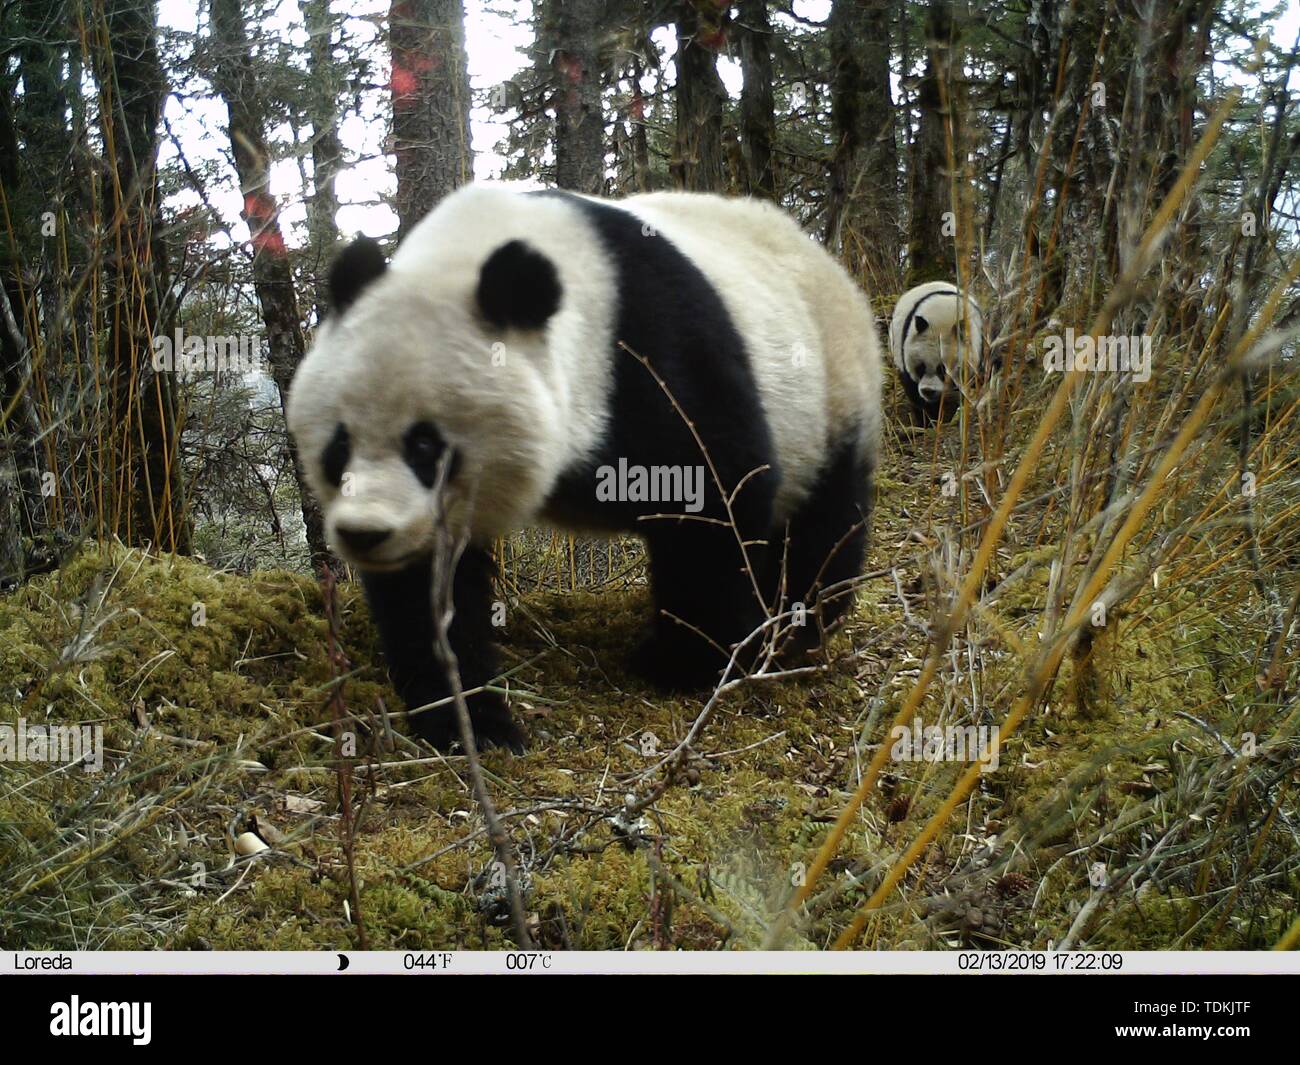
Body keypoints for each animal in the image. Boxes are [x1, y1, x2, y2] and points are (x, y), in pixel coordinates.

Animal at [287, 183, 883, 751]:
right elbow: (429, 591)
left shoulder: (655, 351)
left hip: (827, 390)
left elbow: (717, 495)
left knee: (824, 523)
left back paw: (798, 626)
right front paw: (469, 721)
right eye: (339, 445)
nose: (364, 533)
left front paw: (682, 663)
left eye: (426, 447)